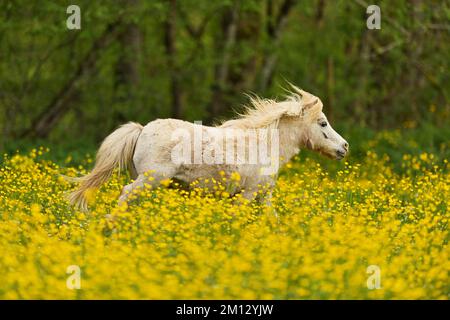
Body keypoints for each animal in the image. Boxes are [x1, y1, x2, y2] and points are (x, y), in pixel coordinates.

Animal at [68, 84, 348, 210]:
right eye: (323, 123)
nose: (344, 147)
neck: (264, 144)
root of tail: (142, 130)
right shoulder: (247, 195)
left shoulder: (263, 196)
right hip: (150, 179)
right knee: (126, 195)